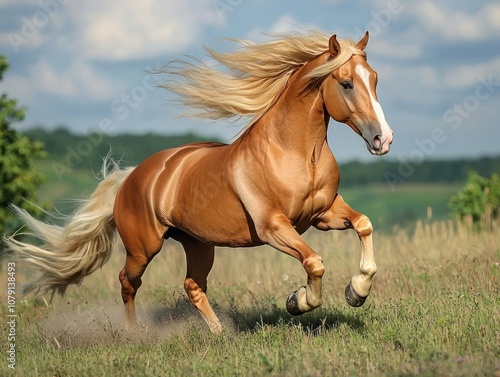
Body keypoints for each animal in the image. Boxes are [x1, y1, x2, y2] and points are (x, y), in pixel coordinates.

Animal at [5, 30, 392, 334]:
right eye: (345, 83)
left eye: (374, 78)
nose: (383, 139)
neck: (295, 153)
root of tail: (132, 176)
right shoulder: (274, 227)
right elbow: (314, 262)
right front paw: (298, 301)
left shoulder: (323, 214)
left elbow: (364, 225)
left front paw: (356, 292)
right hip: (143, 248)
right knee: (128, 281)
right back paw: (134, 333)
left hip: (199, 244)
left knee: (192, 285)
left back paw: (220, 333)